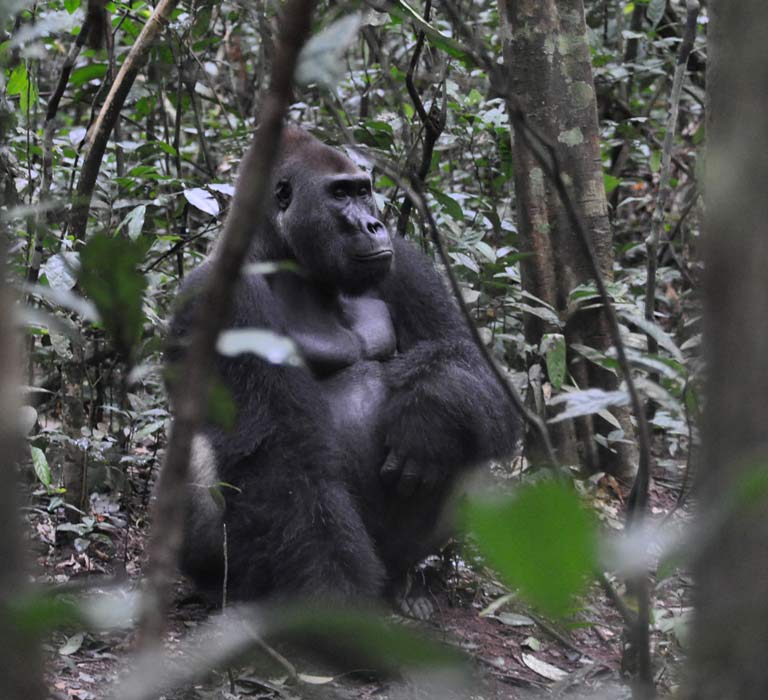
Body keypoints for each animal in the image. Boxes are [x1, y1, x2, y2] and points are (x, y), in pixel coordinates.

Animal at [168, 126, 516, 608]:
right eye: (339, 194)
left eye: (363, 191)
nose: (374, 224)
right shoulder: (219, 299)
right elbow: (283, 456)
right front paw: (333, 602)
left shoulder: (403, 260)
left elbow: (469, 362)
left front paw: (428, 416)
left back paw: (405, 582)